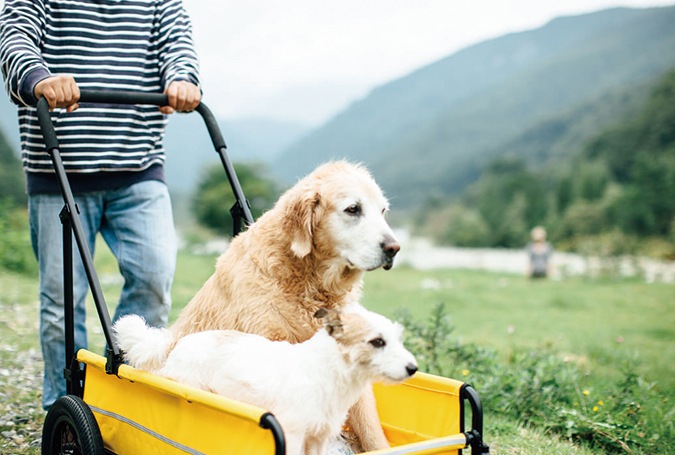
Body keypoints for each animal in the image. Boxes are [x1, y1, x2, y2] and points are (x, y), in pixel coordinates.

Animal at [115, 306, 418, 455]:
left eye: (398, 339)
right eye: (377, 342)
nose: (413, 368)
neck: (325, 372)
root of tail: (178, 341)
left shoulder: (318, 438)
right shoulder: (292, 436)